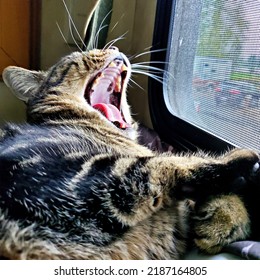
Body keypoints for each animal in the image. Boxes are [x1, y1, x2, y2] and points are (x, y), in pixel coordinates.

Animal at [0, 47, 258, 260]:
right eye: (80, 56)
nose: (112, 47)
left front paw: (228, 218)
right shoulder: (65, 178)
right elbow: (164, 164)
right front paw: (241, 159)